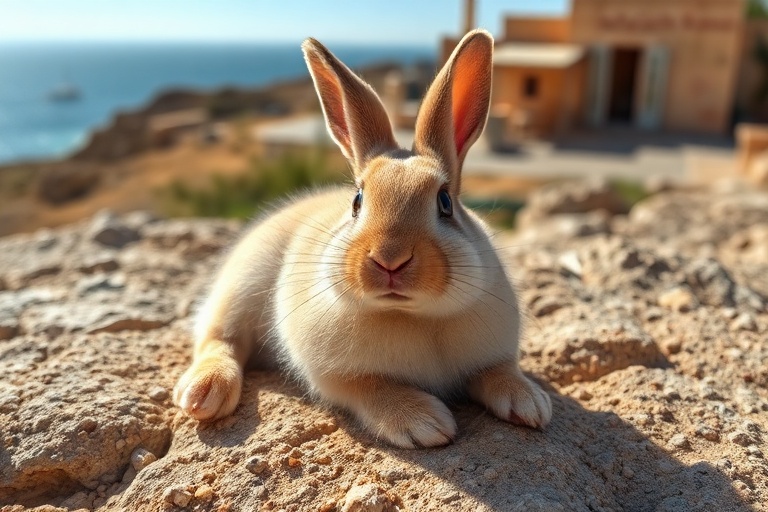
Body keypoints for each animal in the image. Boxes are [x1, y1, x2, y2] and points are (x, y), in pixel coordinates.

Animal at [173, 29, 552, 449]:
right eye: (357, 200)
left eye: (445, 202)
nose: (390, 259)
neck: (410, 315)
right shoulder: (336, 376)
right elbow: (371, 388)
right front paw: (424, 422)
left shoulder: (494, 355)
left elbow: (498, 372)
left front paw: (531, 403)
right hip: (241, 287)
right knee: (219, 338)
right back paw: (203, 395)